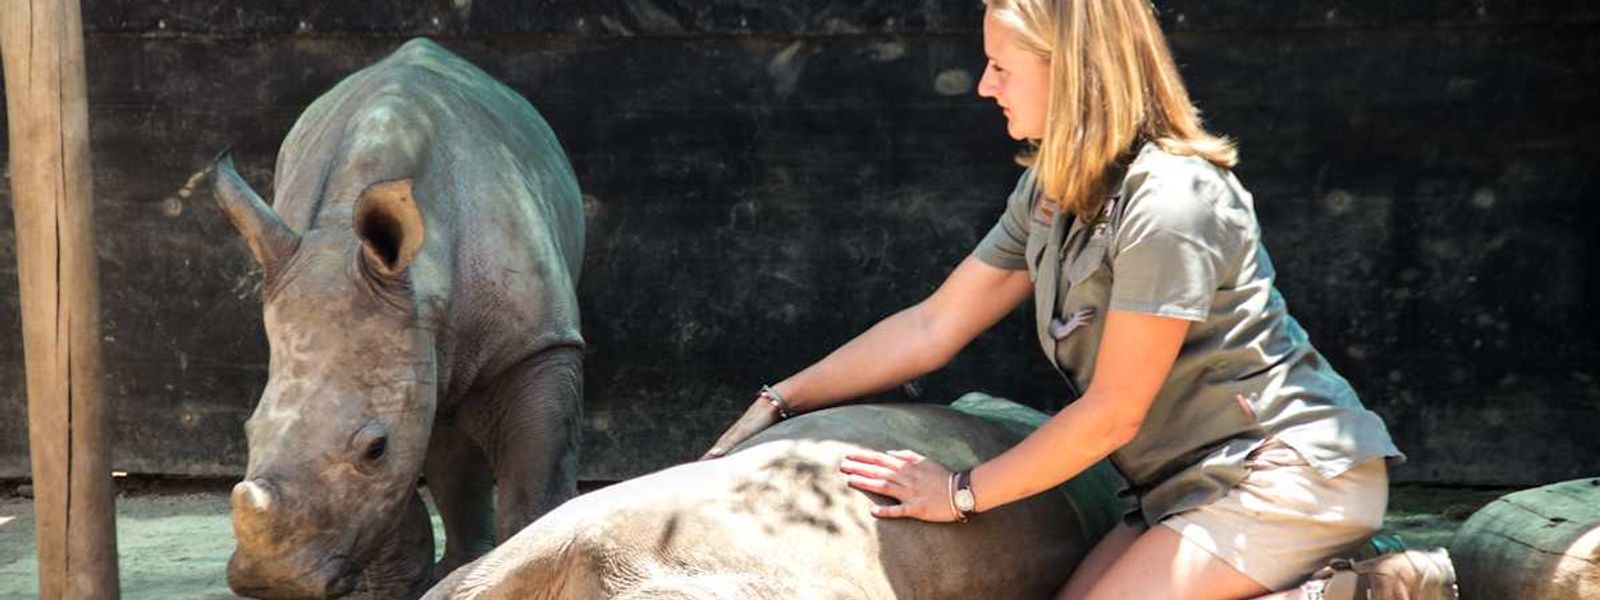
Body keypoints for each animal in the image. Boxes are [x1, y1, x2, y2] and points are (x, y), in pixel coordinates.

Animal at [211, 38, 585, 598]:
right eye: (248, 431)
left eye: (375, 448)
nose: (272, 580)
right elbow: (395, 518)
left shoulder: (537, 345)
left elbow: (533, 495)